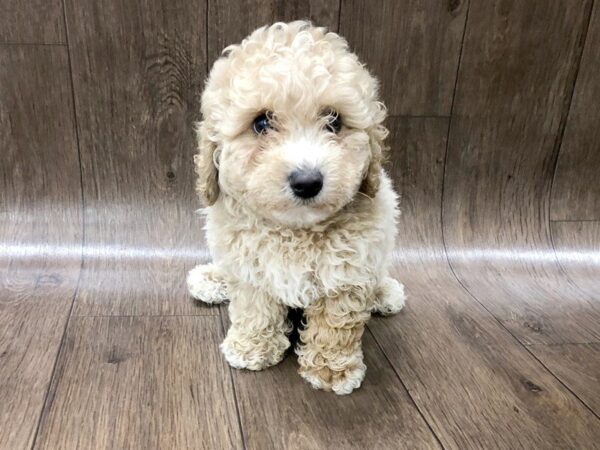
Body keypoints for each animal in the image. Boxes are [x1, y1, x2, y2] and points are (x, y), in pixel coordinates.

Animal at [186, 21, 404, 394]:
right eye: (261, 123)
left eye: (334, 121)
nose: (307, 181)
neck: (295, 230)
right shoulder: (250, 266)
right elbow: (255, 308)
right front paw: (252, 348)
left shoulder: (348, 271)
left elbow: (335, 323)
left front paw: (332, 370)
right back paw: (211, 279)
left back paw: (384, 292)